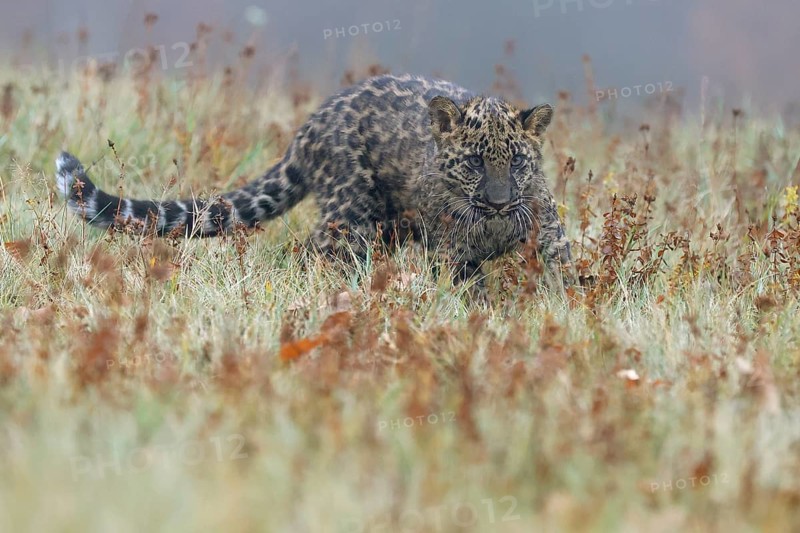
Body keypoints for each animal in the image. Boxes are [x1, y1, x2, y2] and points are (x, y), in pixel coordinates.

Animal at [55, 73, 572, 284]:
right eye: (475, 164)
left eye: (518, 162)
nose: (500, 203)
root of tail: (309, 127)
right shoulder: (453, 252)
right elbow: (470, 290)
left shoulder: (549, 235)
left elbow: (562, 277)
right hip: (351, 217)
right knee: (316, 253)